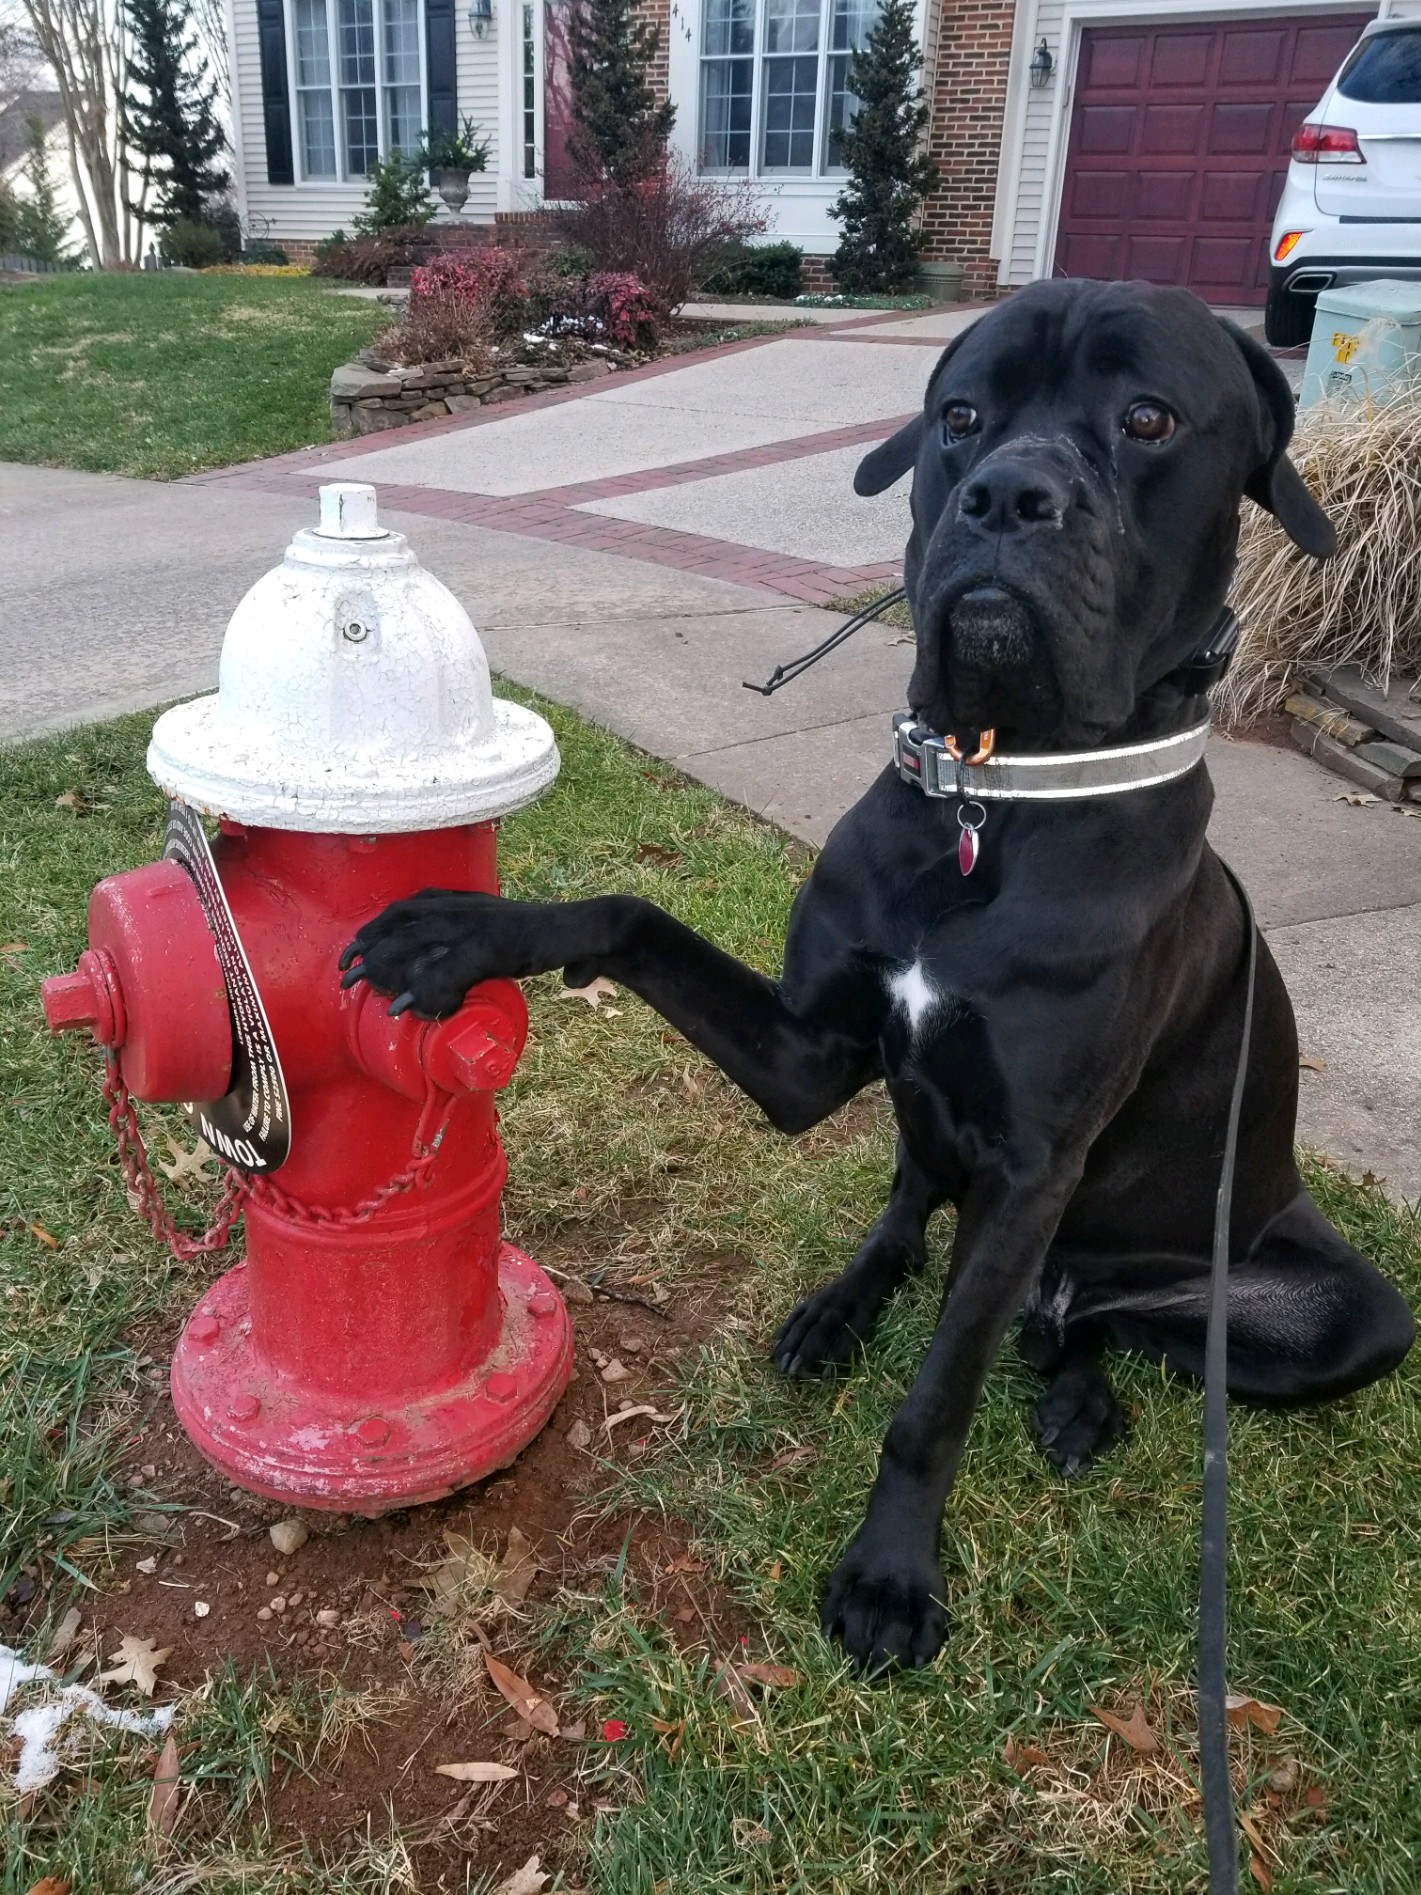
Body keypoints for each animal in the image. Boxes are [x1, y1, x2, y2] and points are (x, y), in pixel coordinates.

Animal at [342, 280, 1417, 1675]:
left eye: (1146, 418)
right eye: (960, 415)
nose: (1006, 496)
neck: (994, 797)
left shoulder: (1030, 1167)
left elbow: (938, 1396)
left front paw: (890, 1575)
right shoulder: (810, 1054)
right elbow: (633, 915)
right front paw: (460, 932)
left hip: (1330, 1307)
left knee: (1087, 1321)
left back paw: (1077, 1402)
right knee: (933, 1225)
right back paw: (845, 1310)